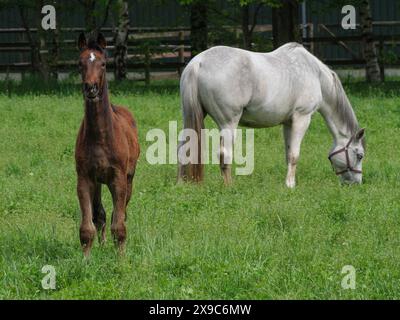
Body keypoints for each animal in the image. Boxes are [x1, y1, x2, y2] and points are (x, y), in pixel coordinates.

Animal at [76, 33, 140, 256]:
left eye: (103, 63)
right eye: (80, 63)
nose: (91, 88)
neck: (100, 137)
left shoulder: (118, 179)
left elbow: (119, 224)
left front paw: (121, 258)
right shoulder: (85, 179)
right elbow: (88, 227)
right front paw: (86, 259)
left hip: (129, 179)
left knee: (119, 214)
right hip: (98, 182)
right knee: (100, 215)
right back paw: (103, 245)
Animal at [178, 42, 366, 188]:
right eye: (359, 155)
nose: (356, 183)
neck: (315, 74)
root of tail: (199, 62)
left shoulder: (288, 123)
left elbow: (288, 154)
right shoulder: (302, 118)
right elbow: (295, 154)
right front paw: (290, 185)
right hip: (228, 123)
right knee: (224, 155)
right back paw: (229, 186)